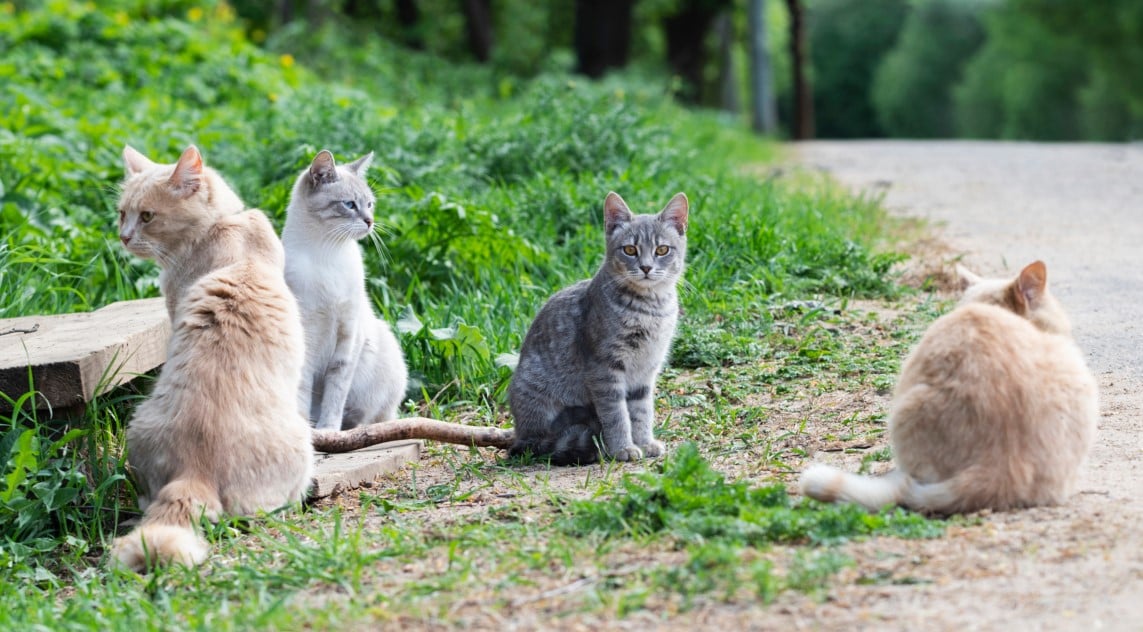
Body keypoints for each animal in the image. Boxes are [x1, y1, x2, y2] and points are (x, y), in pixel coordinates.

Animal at [282, 150, 411, 432]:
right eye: (350, 205)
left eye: (370, 204)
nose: (370, 222)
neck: (329, 254)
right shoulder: (307, 334)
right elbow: (303, 388)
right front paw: (310, 430)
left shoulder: (348, 335)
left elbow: (336, 391)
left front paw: (328, 429)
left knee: (370, 415)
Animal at [509, 188, 685, 464]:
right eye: (630, 249)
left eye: (663, 249)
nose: (646, 267)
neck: (649, 310)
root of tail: (521, 435)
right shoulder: (604, 369)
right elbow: (617, 415)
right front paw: (623, 448)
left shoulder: (646, 371)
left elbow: (641, 412)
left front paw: (644, 442)